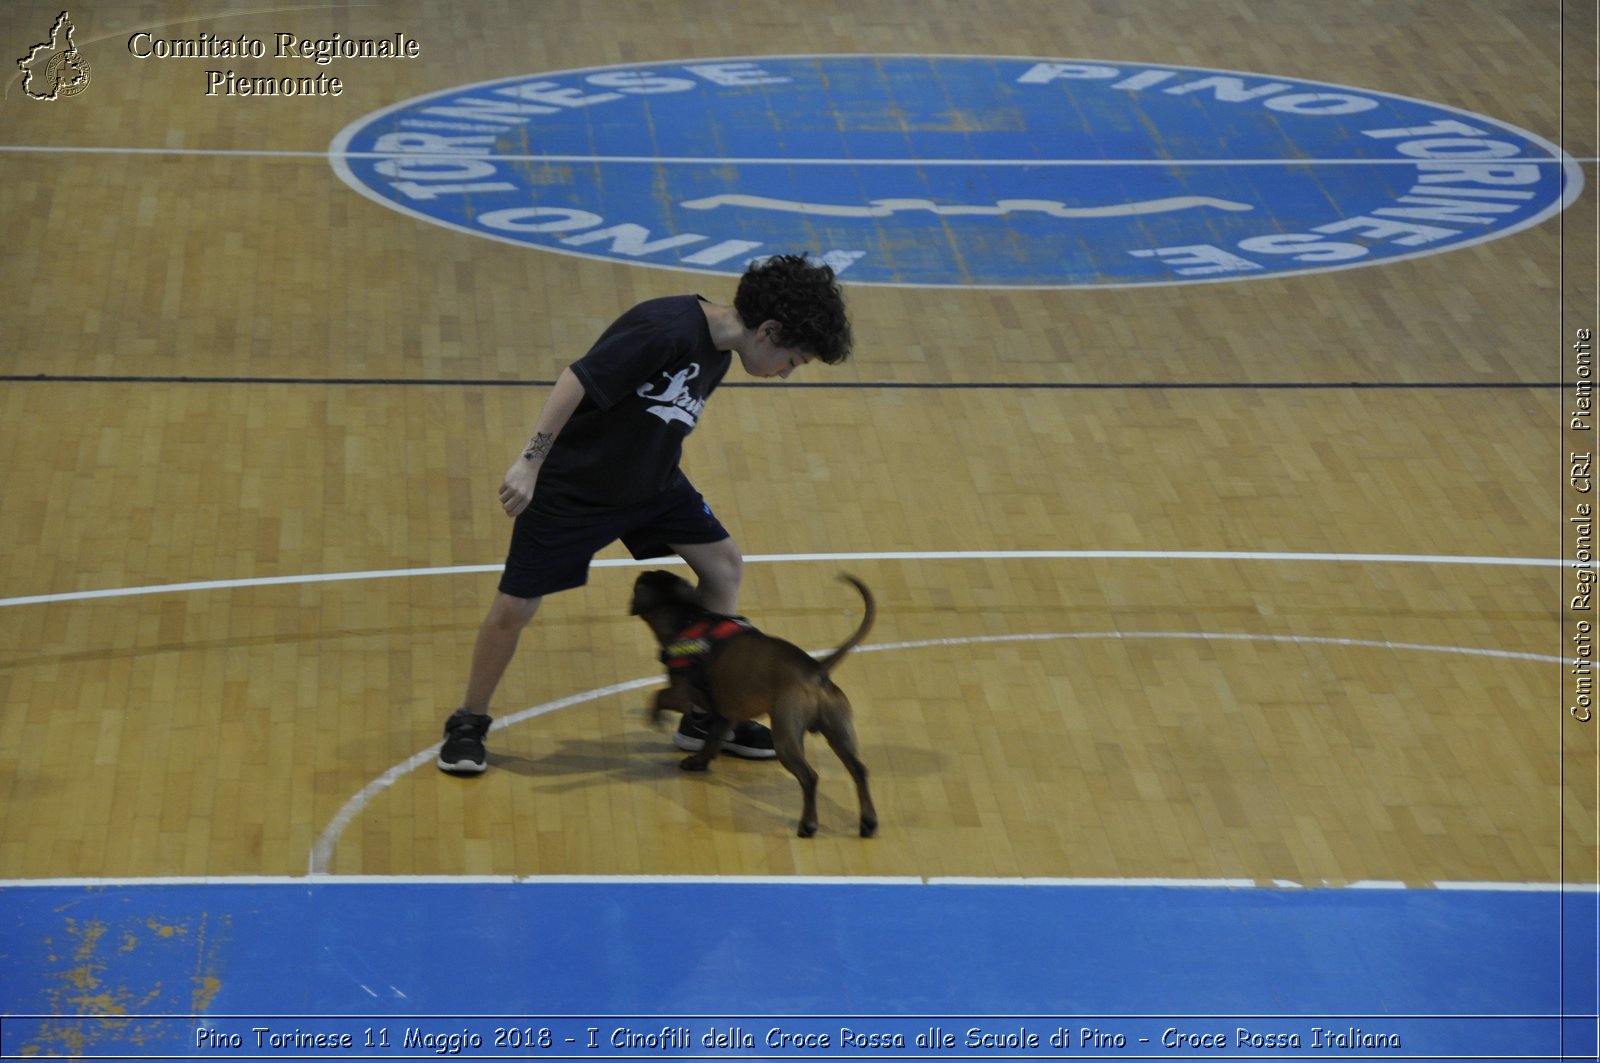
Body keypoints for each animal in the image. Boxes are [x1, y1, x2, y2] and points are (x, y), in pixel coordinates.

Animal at [627, 573, 883, 838]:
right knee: (859, 770)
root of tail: (816, 670)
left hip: (786, 739)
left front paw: (656, 717)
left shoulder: (684, 695)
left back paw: (808, 824)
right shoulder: (723, 714)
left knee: (809, 777)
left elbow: (659, 695)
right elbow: (711, 741)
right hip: (839, 734)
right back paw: (868, 821)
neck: (686, 617)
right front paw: (699, 762)